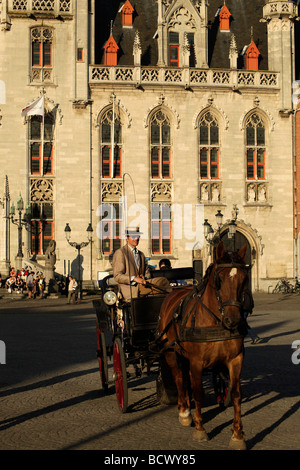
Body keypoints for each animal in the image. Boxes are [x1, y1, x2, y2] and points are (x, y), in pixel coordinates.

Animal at [157, 241, 248, 450]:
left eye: (244, 279)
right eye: (219, 279)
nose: (233, 320)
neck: (216, 320)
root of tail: (174, 291)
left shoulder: (236, 359)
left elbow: (236, 394)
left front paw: (237, 435)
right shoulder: (197, 361)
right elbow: (198, 392)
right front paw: (200, 429)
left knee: (186, 379)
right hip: (171, 352)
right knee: (179, 379)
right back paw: (184, 412)